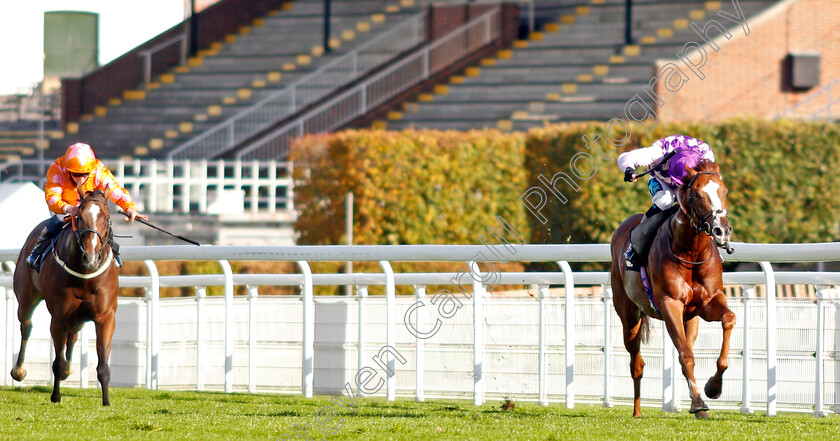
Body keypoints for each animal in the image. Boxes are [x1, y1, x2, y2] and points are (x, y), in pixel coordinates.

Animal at [12, 184, 119, 404]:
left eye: (106, 217)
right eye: (79, 217)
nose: (91, 257)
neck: (85, 274)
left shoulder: (105, 316)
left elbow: (103, 366)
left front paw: (106, 402)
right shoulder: (59, 316)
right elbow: (57, 362)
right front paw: (56, 396)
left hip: (78, 316)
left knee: (74, 335)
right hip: (26, 298)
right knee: (26, 326)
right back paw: (18, 370)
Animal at [612, 160, 736, 418]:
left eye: (725, 191)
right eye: (697, 194)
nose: (722, 230)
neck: (691, 252)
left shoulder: (709, 301)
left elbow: (729, 319)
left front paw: (713, 387)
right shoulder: (670, 304)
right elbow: (685, 355)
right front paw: (698, 402)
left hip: (691, 320)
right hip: (629, 317)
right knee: (636, 362)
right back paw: (637, 411)